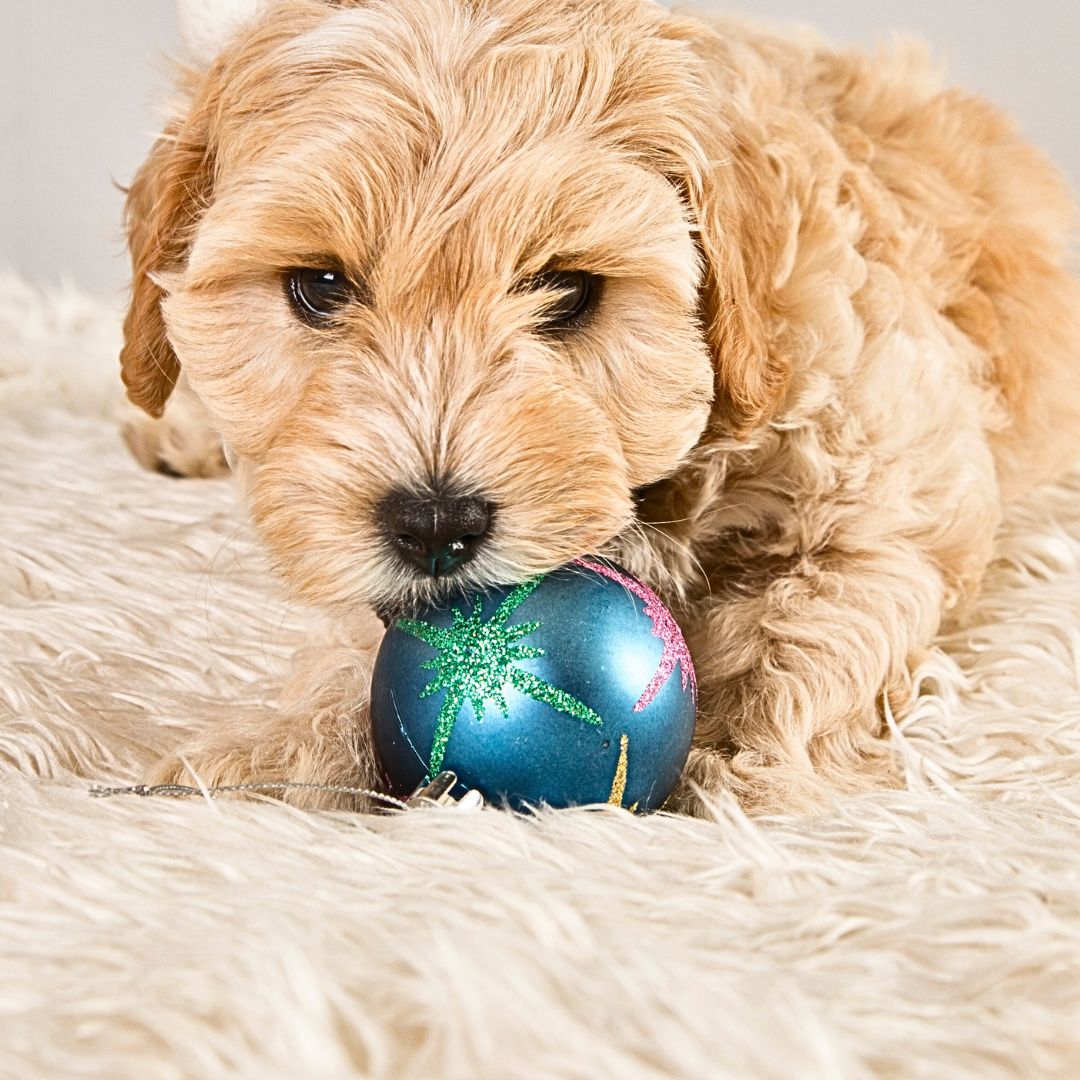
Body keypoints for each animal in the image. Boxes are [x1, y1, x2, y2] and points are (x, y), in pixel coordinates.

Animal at [122, 0, 1080, 812]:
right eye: (319, 288)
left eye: (569, 290)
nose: (435, 527)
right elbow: (360, 643)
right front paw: (278, 754)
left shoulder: (895, 490)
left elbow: (819, 630)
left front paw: (739, 766)